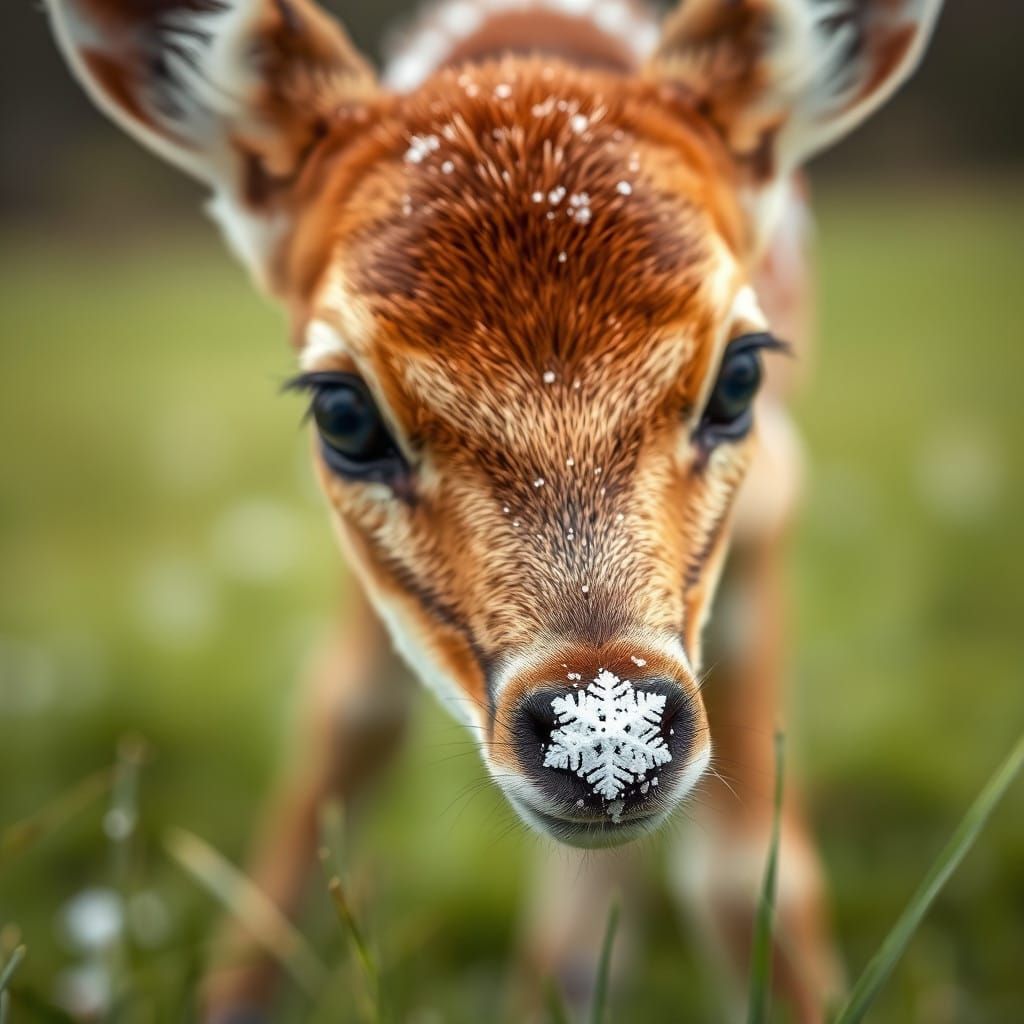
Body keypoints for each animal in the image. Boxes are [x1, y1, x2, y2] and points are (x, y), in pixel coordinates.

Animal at [43, 0, 944, 1020]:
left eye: (741, 374)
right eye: (342, 412)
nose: (610, 729)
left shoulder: (772, 511)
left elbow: (748, 879)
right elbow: (342, 731)